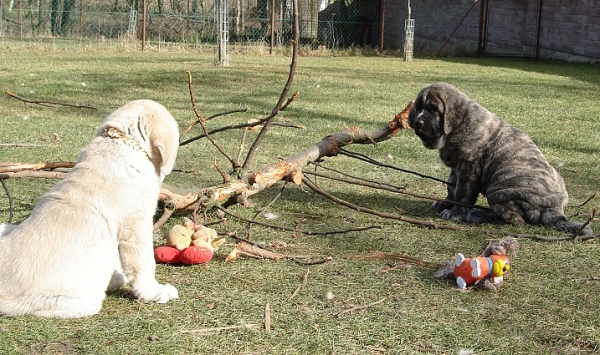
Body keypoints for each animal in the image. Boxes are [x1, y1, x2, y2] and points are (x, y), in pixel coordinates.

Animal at [408, 81, 592, 236]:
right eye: (418, 107)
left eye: (433, 109)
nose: (418, 123)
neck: (458, 125)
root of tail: (553, 207)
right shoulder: (457, 166)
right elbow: (451, 188)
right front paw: (445, 204)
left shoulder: (468, 166)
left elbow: (462, 192)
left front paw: (455, 213)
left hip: (500, 185)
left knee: (516, 219)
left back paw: (479, 214)